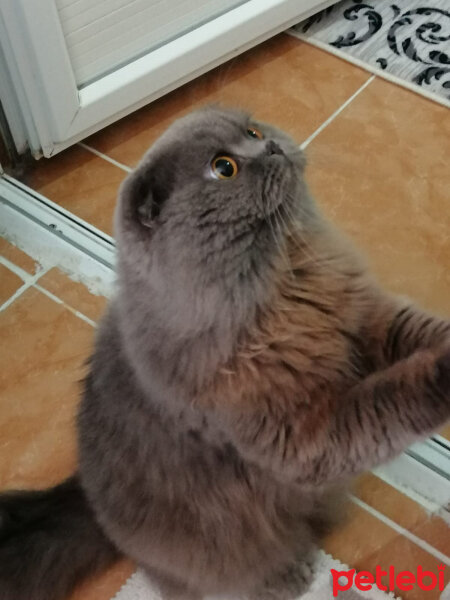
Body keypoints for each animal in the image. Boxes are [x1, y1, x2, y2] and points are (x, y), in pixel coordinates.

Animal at [0, 108, 450, 600]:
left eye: (252, 131)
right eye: (224, 168)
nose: (270, 145)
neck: (285, 282)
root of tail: (87, 492)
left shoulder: (367, 318)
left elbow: (414, 334)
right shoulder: (301, 436)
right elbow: (391, 400)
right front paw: (443, 372)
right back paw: (291, 574)